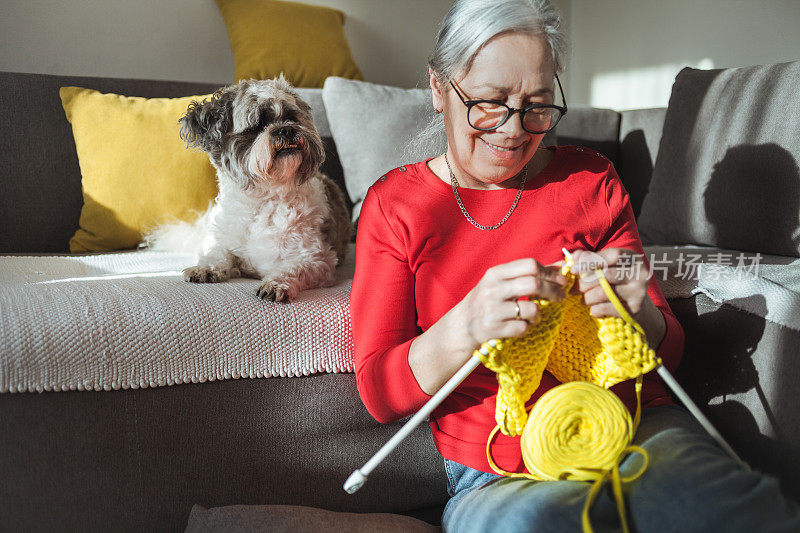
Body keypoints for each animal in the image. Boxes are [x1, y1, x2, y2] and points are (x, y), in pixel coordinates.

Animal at [145, 75, 352, 302]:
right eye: (256, 126)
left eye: (292, 118)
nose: (287, 129)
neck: (264, 198)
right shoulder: (225, 243)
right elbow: (217, 254)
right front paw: (204, 268)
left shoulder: (316, 258)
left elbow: (293, 269)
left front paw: (275, 284)